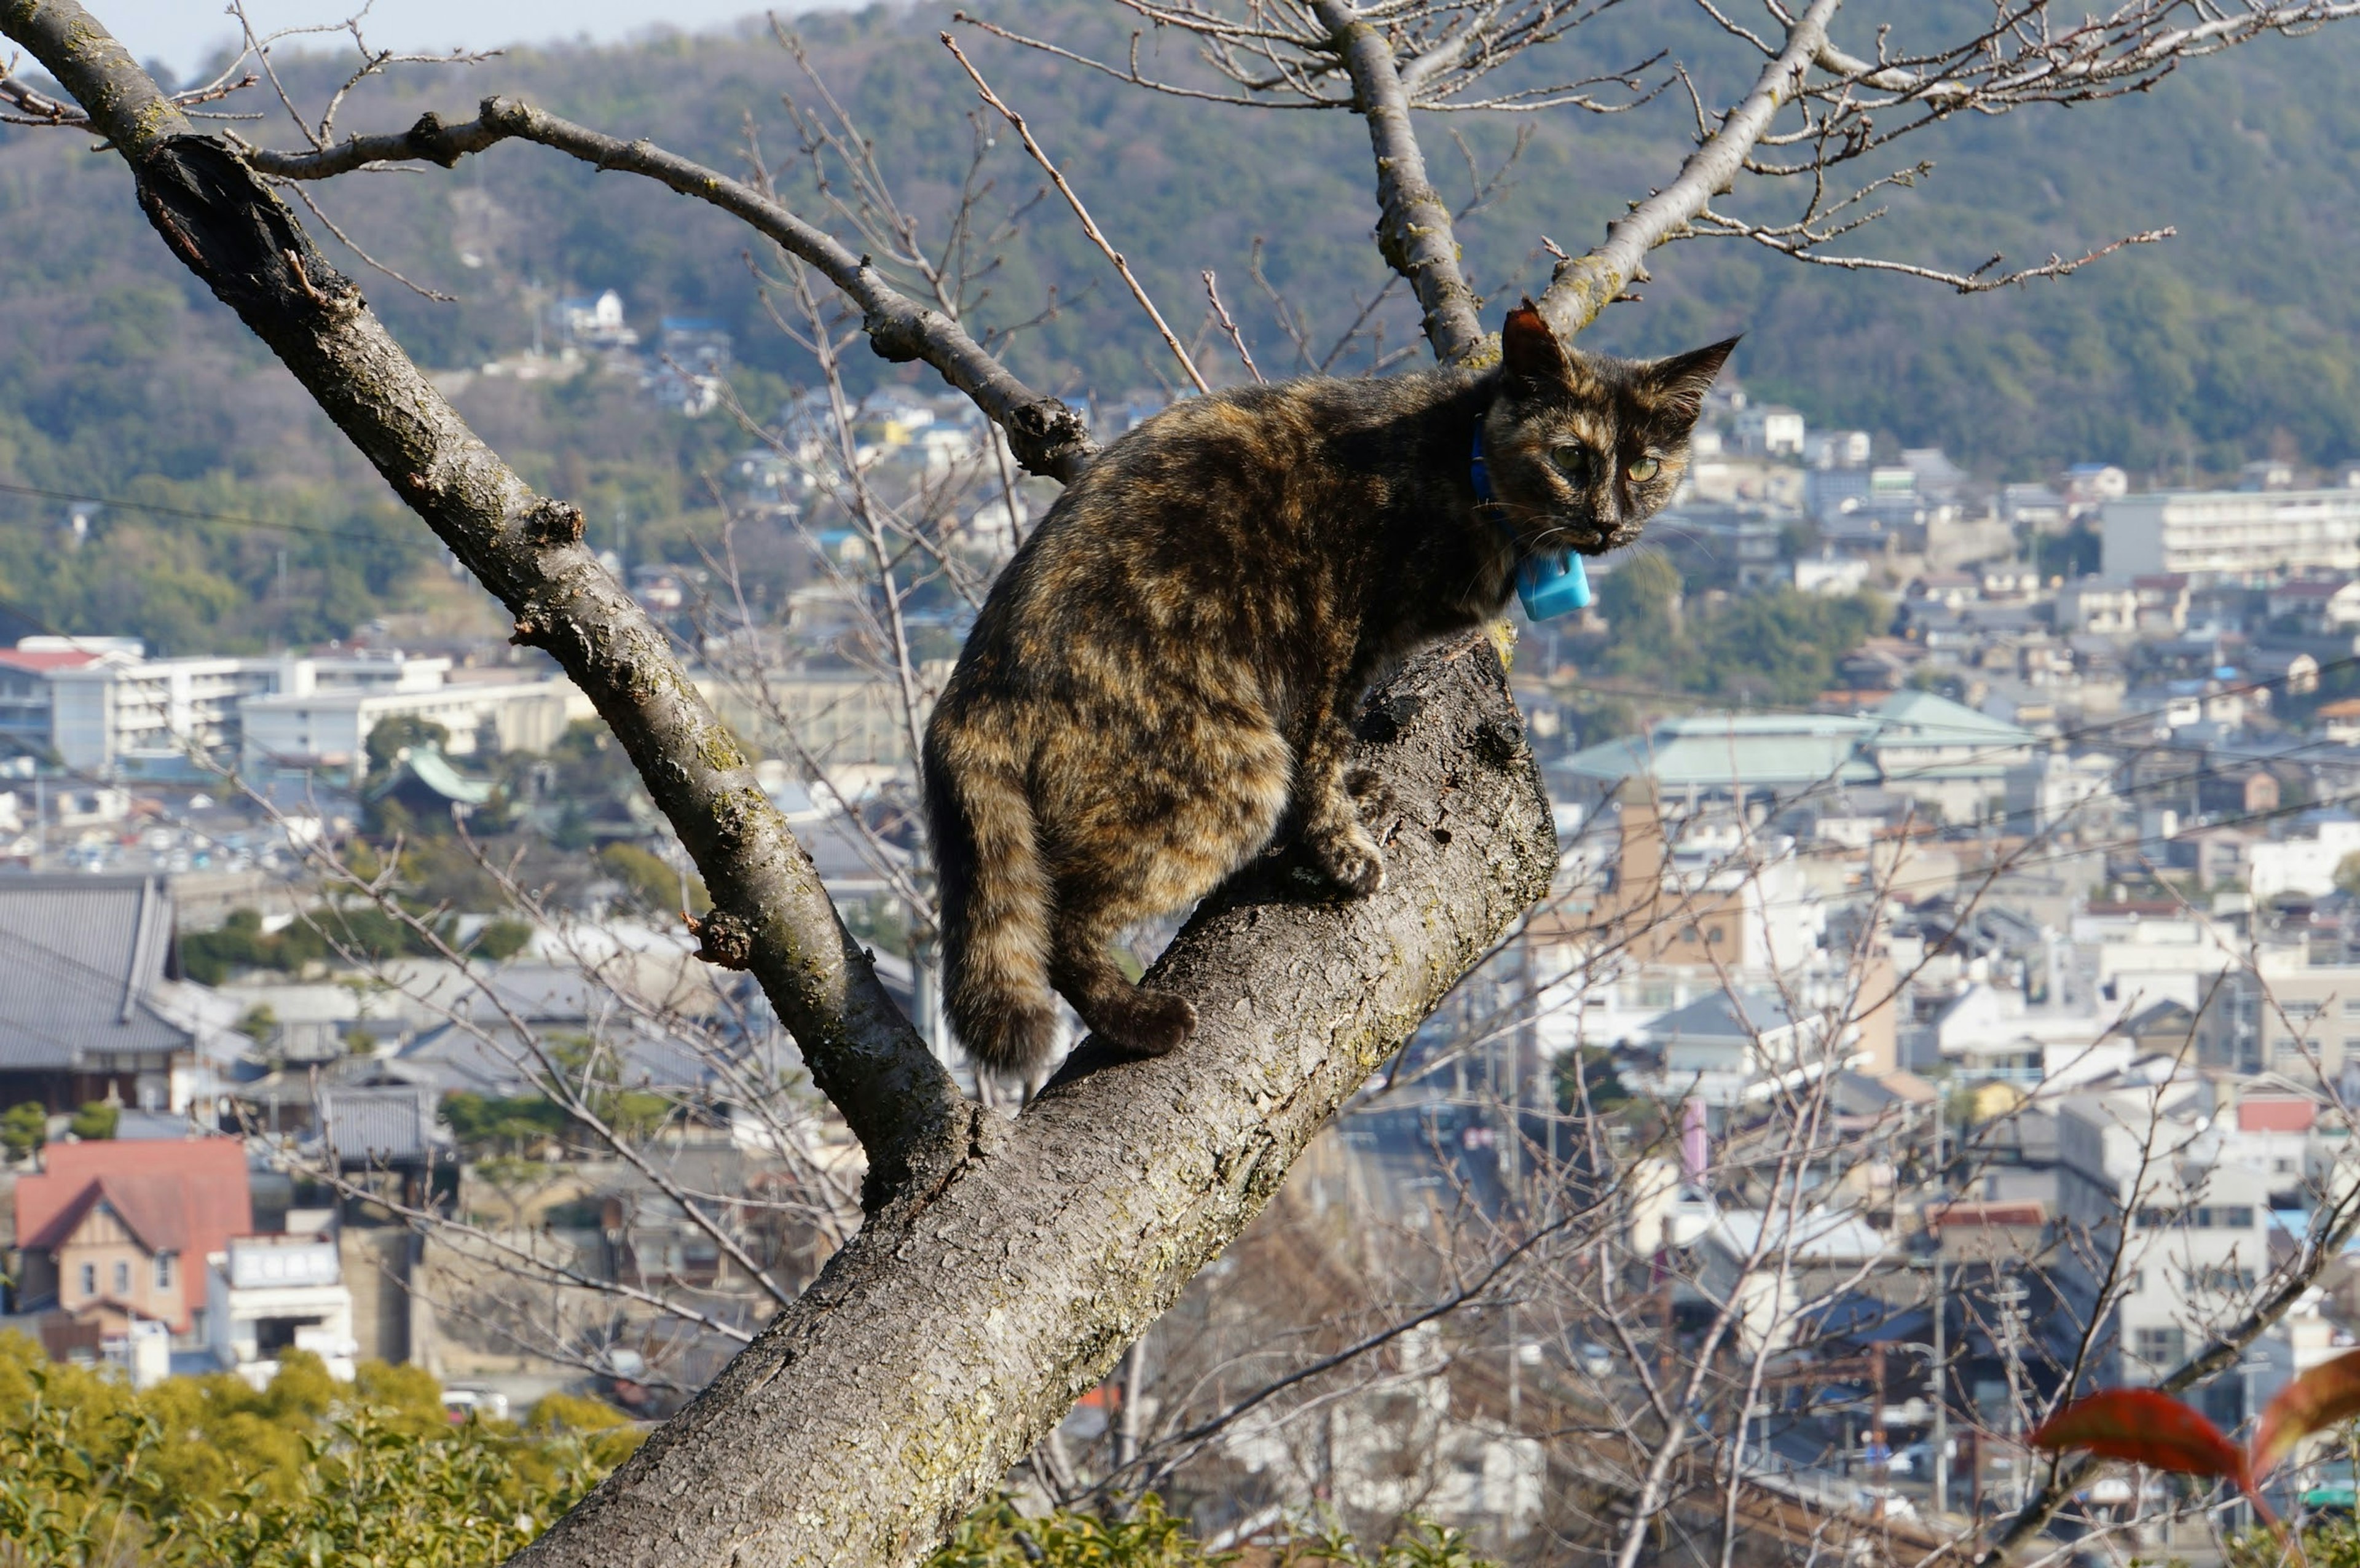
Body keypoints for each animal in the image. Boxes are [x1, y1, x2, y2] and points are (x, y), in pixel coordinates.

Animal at [925, 299, 1737, 1070]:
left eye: (1645, 467)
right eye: (1570, 456)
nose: (1607, 522)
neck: (1459, 459)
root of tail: (973, 687)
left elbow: (1337, 741)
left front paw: (1357, 789)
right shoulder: (1330, 634)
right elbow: (1318, 745)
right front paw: (1341, 847)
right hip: (1231, 772)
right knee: (1063, 917)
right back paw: (1139, 1019)